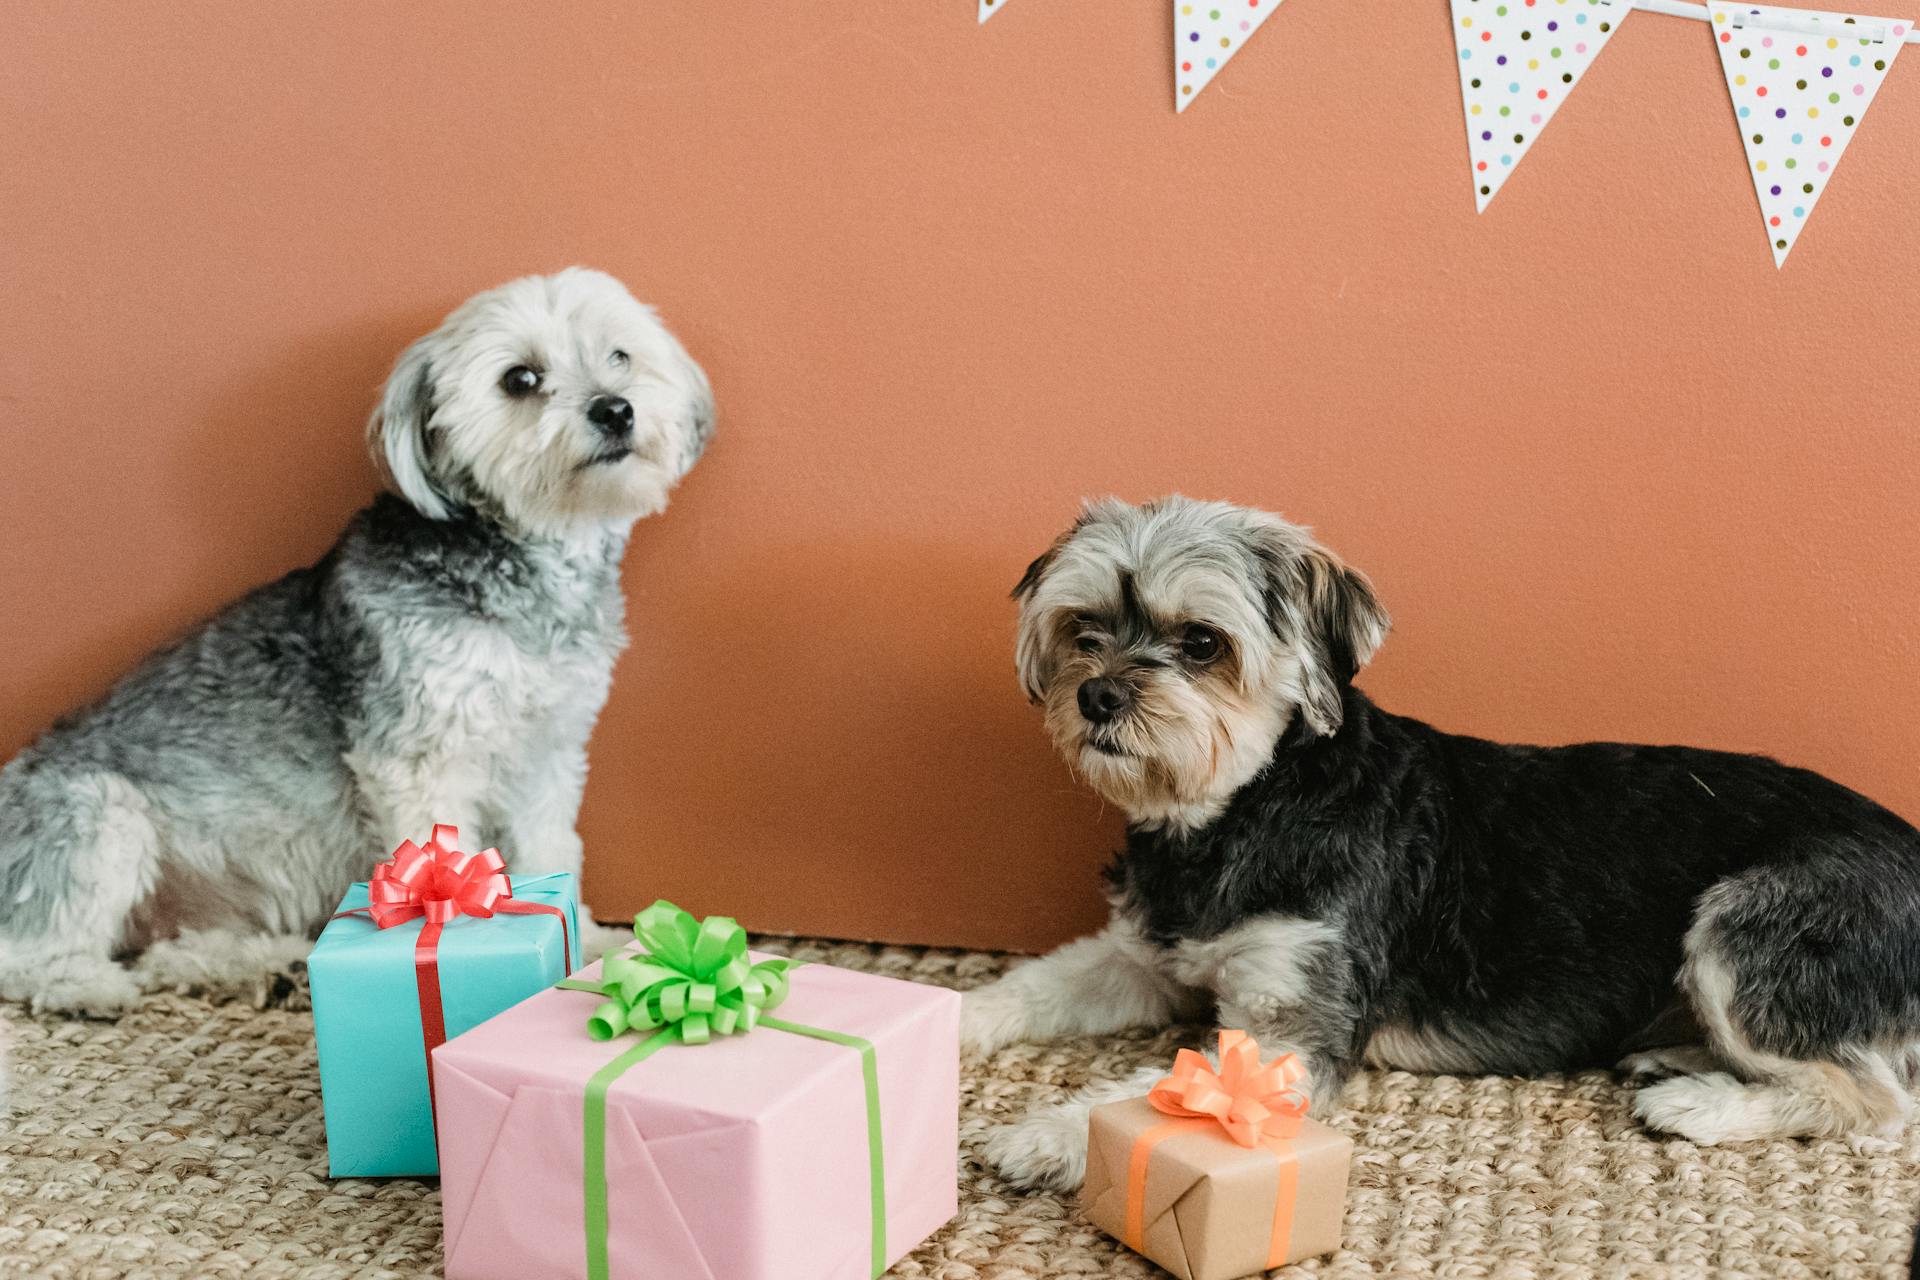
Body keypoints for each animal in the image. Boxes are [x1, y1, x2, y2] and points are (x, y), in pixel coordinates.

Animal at [0, 268, 714, 1013]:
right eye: (520, 378)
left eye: (620, 356)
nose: (615, 409)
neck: (519, 569)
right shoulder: (420, 755)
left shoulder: (546, 752)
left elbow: (551, 850)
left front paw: (589, 944)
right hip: (96, 817)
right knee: (27, 956)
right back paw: (89, 986)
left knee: (169, 949)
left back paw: (260, 968)